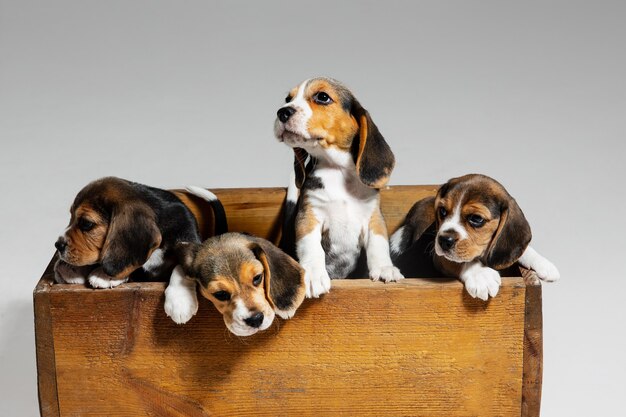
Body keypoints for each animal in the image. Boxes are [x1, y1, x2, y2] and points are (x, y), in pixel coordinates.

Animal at [274, 76, 402, 298]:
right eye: (288, 99)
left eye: (322, 97)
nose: (282, 112)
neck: (337, 170)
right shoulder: (309, 216)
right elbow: (311, 246)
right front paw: (313, 275)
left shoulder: (373, 218)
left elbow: (379, 244)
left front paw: (385, 268)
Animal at [388, 173, 560, 300]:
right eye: (442, 211)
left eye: (476, 219)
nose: (443, 241)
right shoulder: (438, 257)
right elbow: (458, 261)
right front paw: (480, 275)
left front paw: (543, 263)